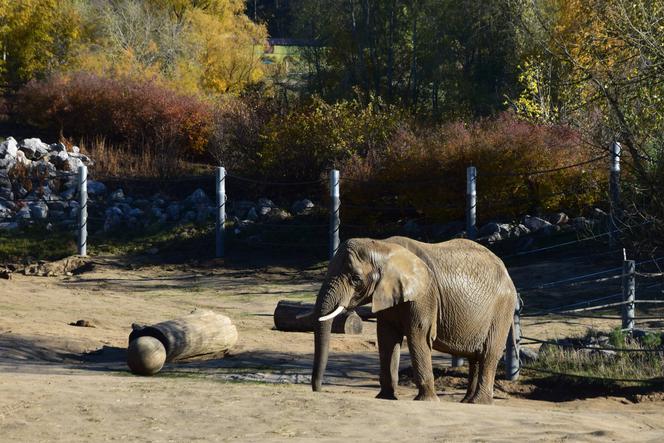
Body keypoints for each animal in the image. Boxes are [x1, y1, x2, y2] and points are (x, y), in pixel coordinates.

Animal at [312, 238, 520, 404]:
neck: (383, 247)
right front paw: (385, 397)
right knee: (475, 357)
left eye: (356, 279)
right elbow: (387, 338)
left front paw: (426, 400)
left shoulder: (424, 295)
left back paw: (479, 402)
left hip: (502, 308)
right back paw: (467, 401)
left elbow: (418, 335)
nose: (318, 390)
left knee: (489, 353)